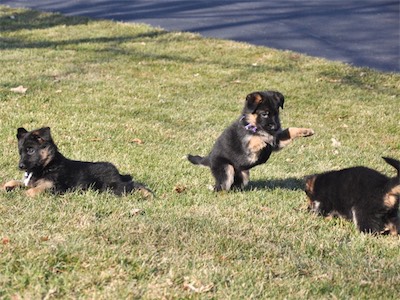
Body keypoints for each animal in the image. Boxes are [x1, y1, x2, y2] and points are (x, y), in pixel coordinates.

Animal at [2, 126, 152, 198]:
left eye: (31, 150)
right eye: (20, 151)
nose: (20, 166)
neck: (48, 166)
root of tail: (117, 173)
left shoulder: (53, 187)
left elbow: (33, 190)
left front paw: (20, 194)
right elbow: (16, 182)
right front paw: (5, 186)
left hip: (112, 188)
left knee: (133, 185)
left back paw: (148, 194)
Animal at [188, 90, 316, 191]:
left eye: (276, 113)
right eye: (265, 114)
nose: (276, 127)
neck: (254, 125)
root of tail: (209, 158)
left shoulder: (278, 141)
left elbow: (289, 130)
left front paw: (305, 131)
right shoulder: (248, 144)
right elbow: (257, 139)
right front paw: (264, 141)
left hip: (243, 174)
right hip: (226, 168)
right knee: (221, 186)